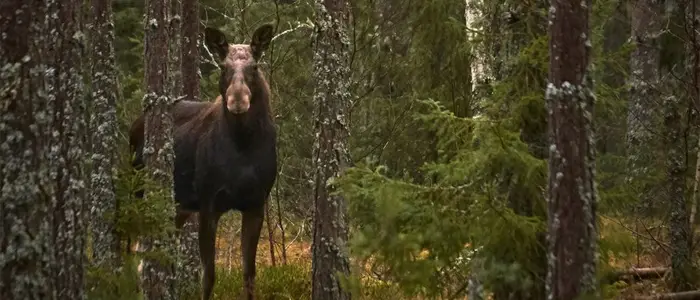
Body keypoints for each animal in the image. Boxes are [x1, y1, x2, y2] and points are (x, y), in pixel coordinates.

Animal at [130, 24, 278, 300]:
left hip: (178, 207)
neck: (243, 148)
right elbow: (208, 277)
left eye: (254, 66)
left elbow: (249, 275)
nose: (237, 100)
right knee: (137, 256)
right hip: (138, 192)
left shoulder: (255, 204)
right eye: (223, 66)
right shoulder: (209, 203)